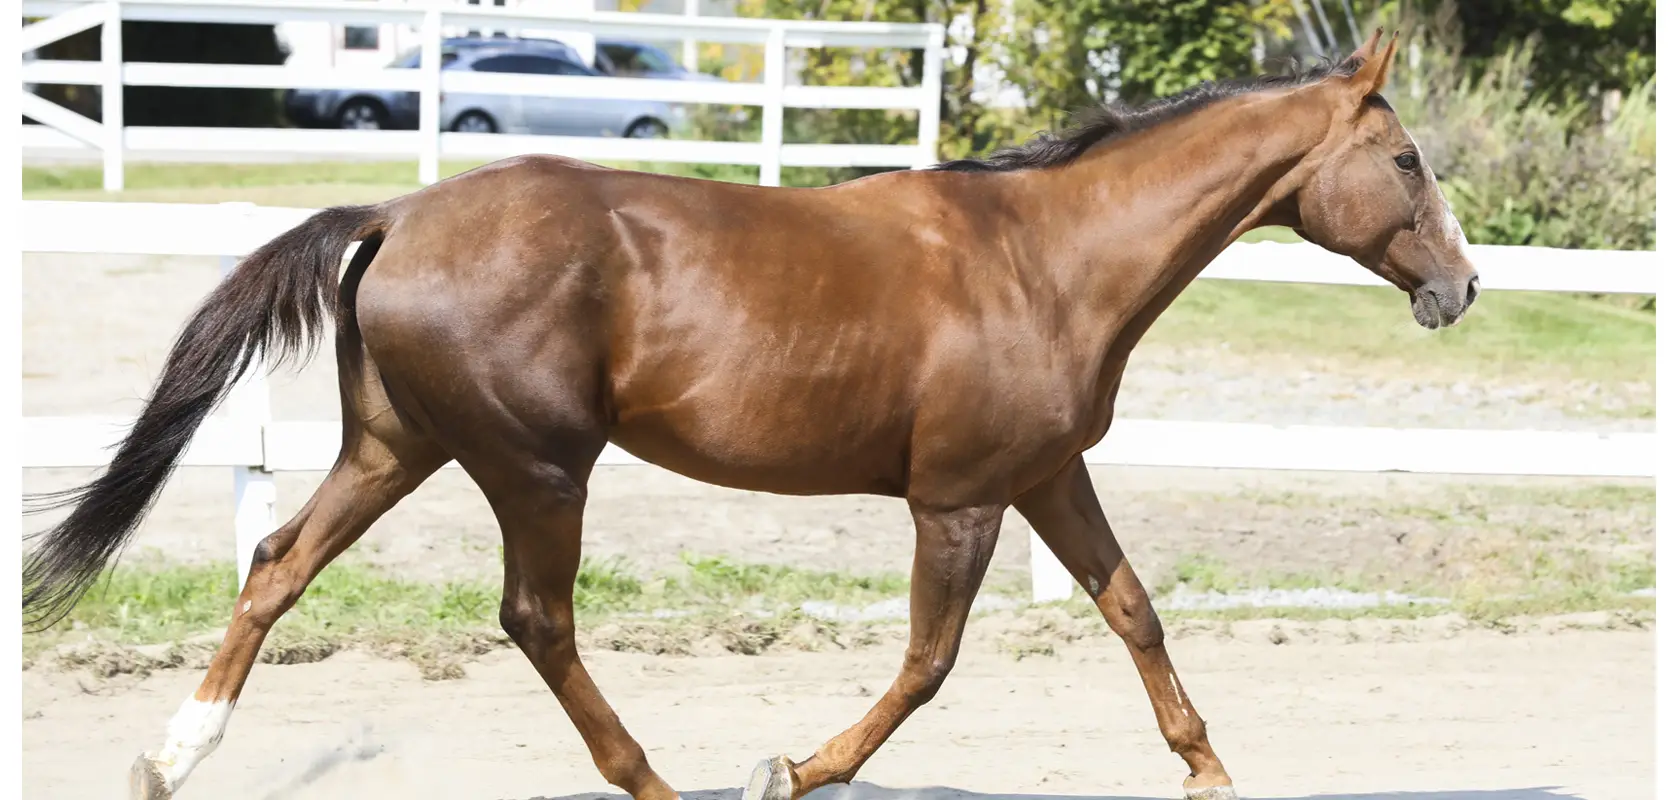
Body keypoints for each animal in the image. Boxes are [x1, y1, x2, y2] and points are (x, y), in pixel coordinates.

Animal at [23, 28, 1476, 800]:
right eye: (1407, 159)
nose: (1462, 287)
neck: (1041, 258)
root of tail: (394, 212)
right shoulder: (961, 497)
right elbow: (929, 663)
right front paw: (796, 769)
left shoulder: (1045, 475)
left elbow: (1134, 612)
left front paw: (1210, 774)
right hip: (537, 467)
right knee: (536, 620)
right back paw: (657, 780)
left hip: (398, 447)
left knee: (276, 566)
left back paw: (172, 757)